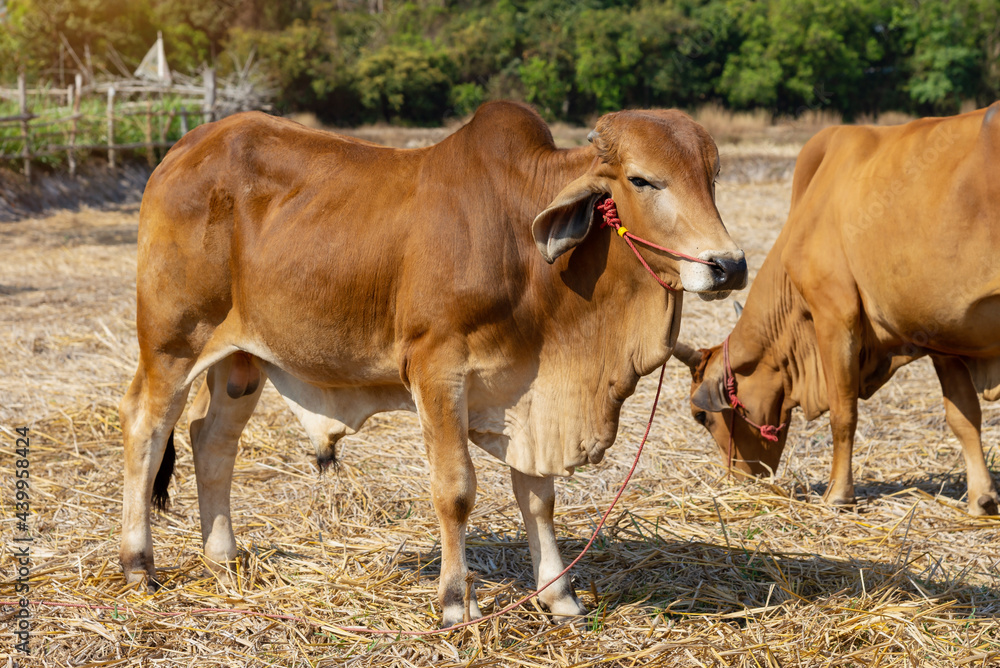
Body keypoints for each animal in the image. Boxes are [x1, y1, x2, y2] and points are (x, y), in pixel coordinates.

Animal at [119, 100, 744, 628]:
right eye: (641, 179)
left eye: (711, 177)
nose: (729, 265)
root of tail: (181, 150)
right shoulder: (438, 369)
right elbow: (455, 490)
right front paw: (455, 603)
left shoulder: (532, 395)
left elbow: (537, 496)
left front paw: (559, 596)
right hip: (173, 341)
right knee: (145, 426)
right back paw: (138, 565)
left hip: (242, 358)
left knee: (212, 440)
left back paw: (223, 557)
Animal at [672, 103, 1000, 516]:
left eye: (701, 416)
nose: (739, 481)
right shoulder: (941, 339)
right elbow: (964, 417)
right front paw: (982, 497)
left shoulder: (835, 317)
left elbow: (843, 414)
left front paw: (839, 494)